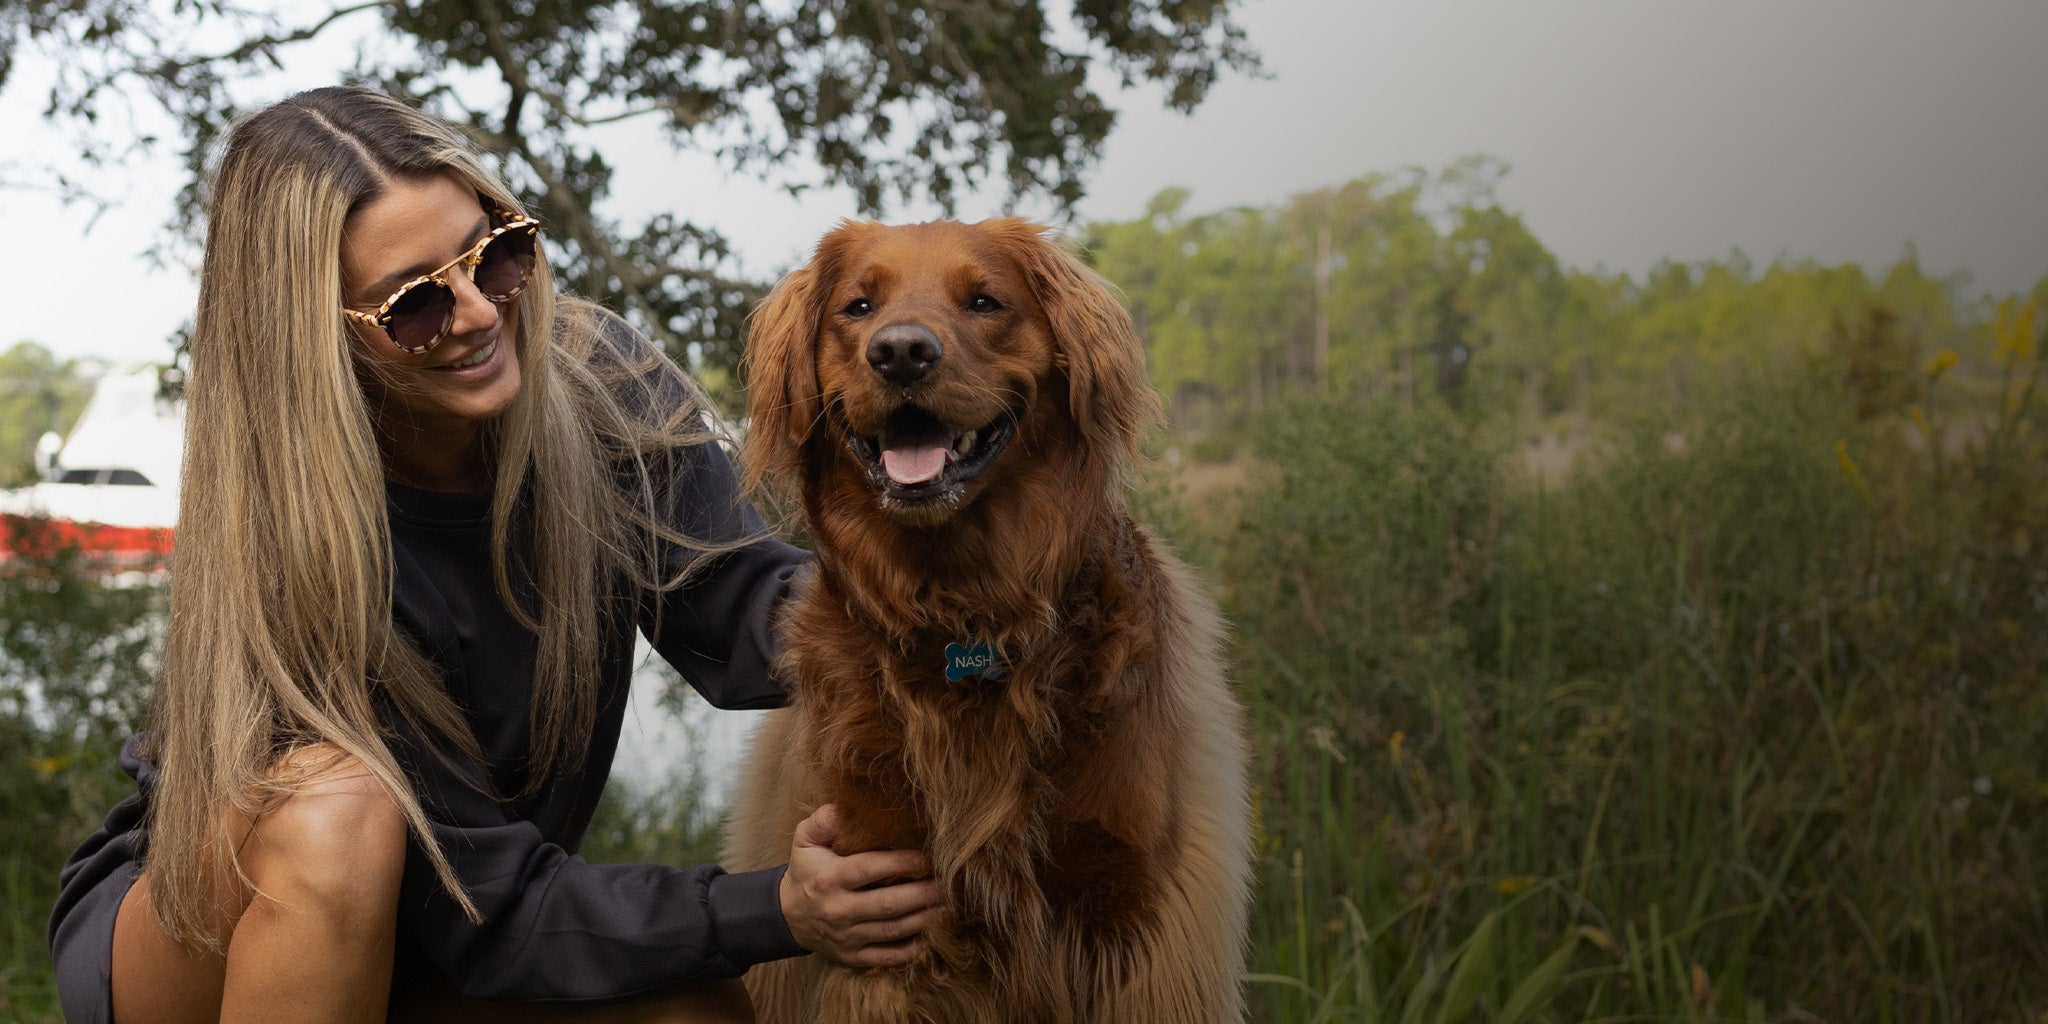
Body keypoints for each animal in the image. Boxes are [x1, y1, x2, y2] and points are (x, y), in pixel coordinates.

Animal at [737, 220, 1245, 1019]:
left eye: (984, 301)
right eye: (858, 307)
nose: (900, 352)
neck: (964, 614)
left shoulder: (1136, 922)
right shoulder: (880, 915)